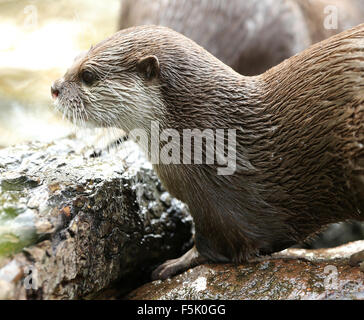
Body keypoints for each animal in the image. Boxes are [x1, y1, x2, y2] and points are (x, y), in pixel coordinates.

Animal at [52, 25, 364, 280]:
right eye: (76, 58)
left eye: (87, 75)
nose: (55, 87)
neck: (210, 138)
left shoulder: (216, 203)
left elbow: (213, 245)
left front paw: (173, 263)